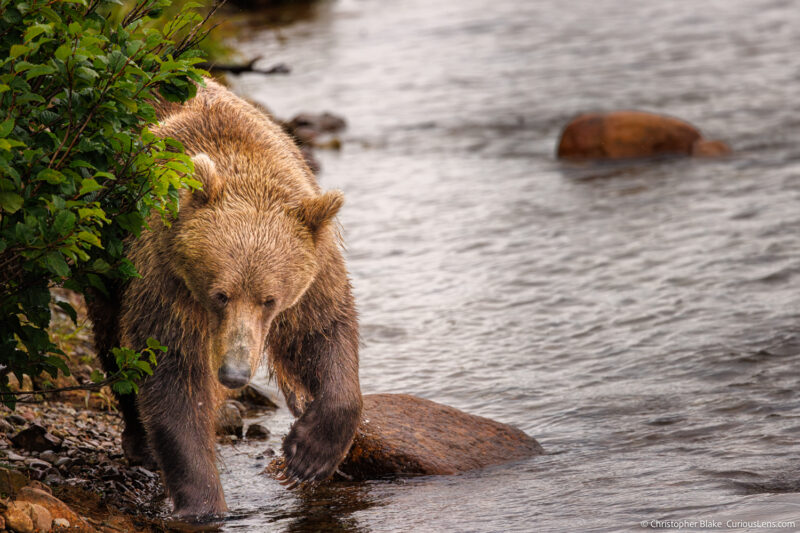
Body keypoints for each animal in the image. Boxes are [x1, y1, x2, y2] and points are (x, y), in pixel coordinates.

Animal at [86, 80, 360, 520]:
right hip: (104, 253)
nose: (233, 374)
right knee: (113, 340)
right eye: (220, 295)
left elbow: (322, 333)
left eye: (269, 299)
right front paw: (203, 505)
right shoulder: (166, 280)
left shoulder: (314, 274)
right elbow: (172, 375)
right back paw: (139, 441)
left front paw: (308, 455)